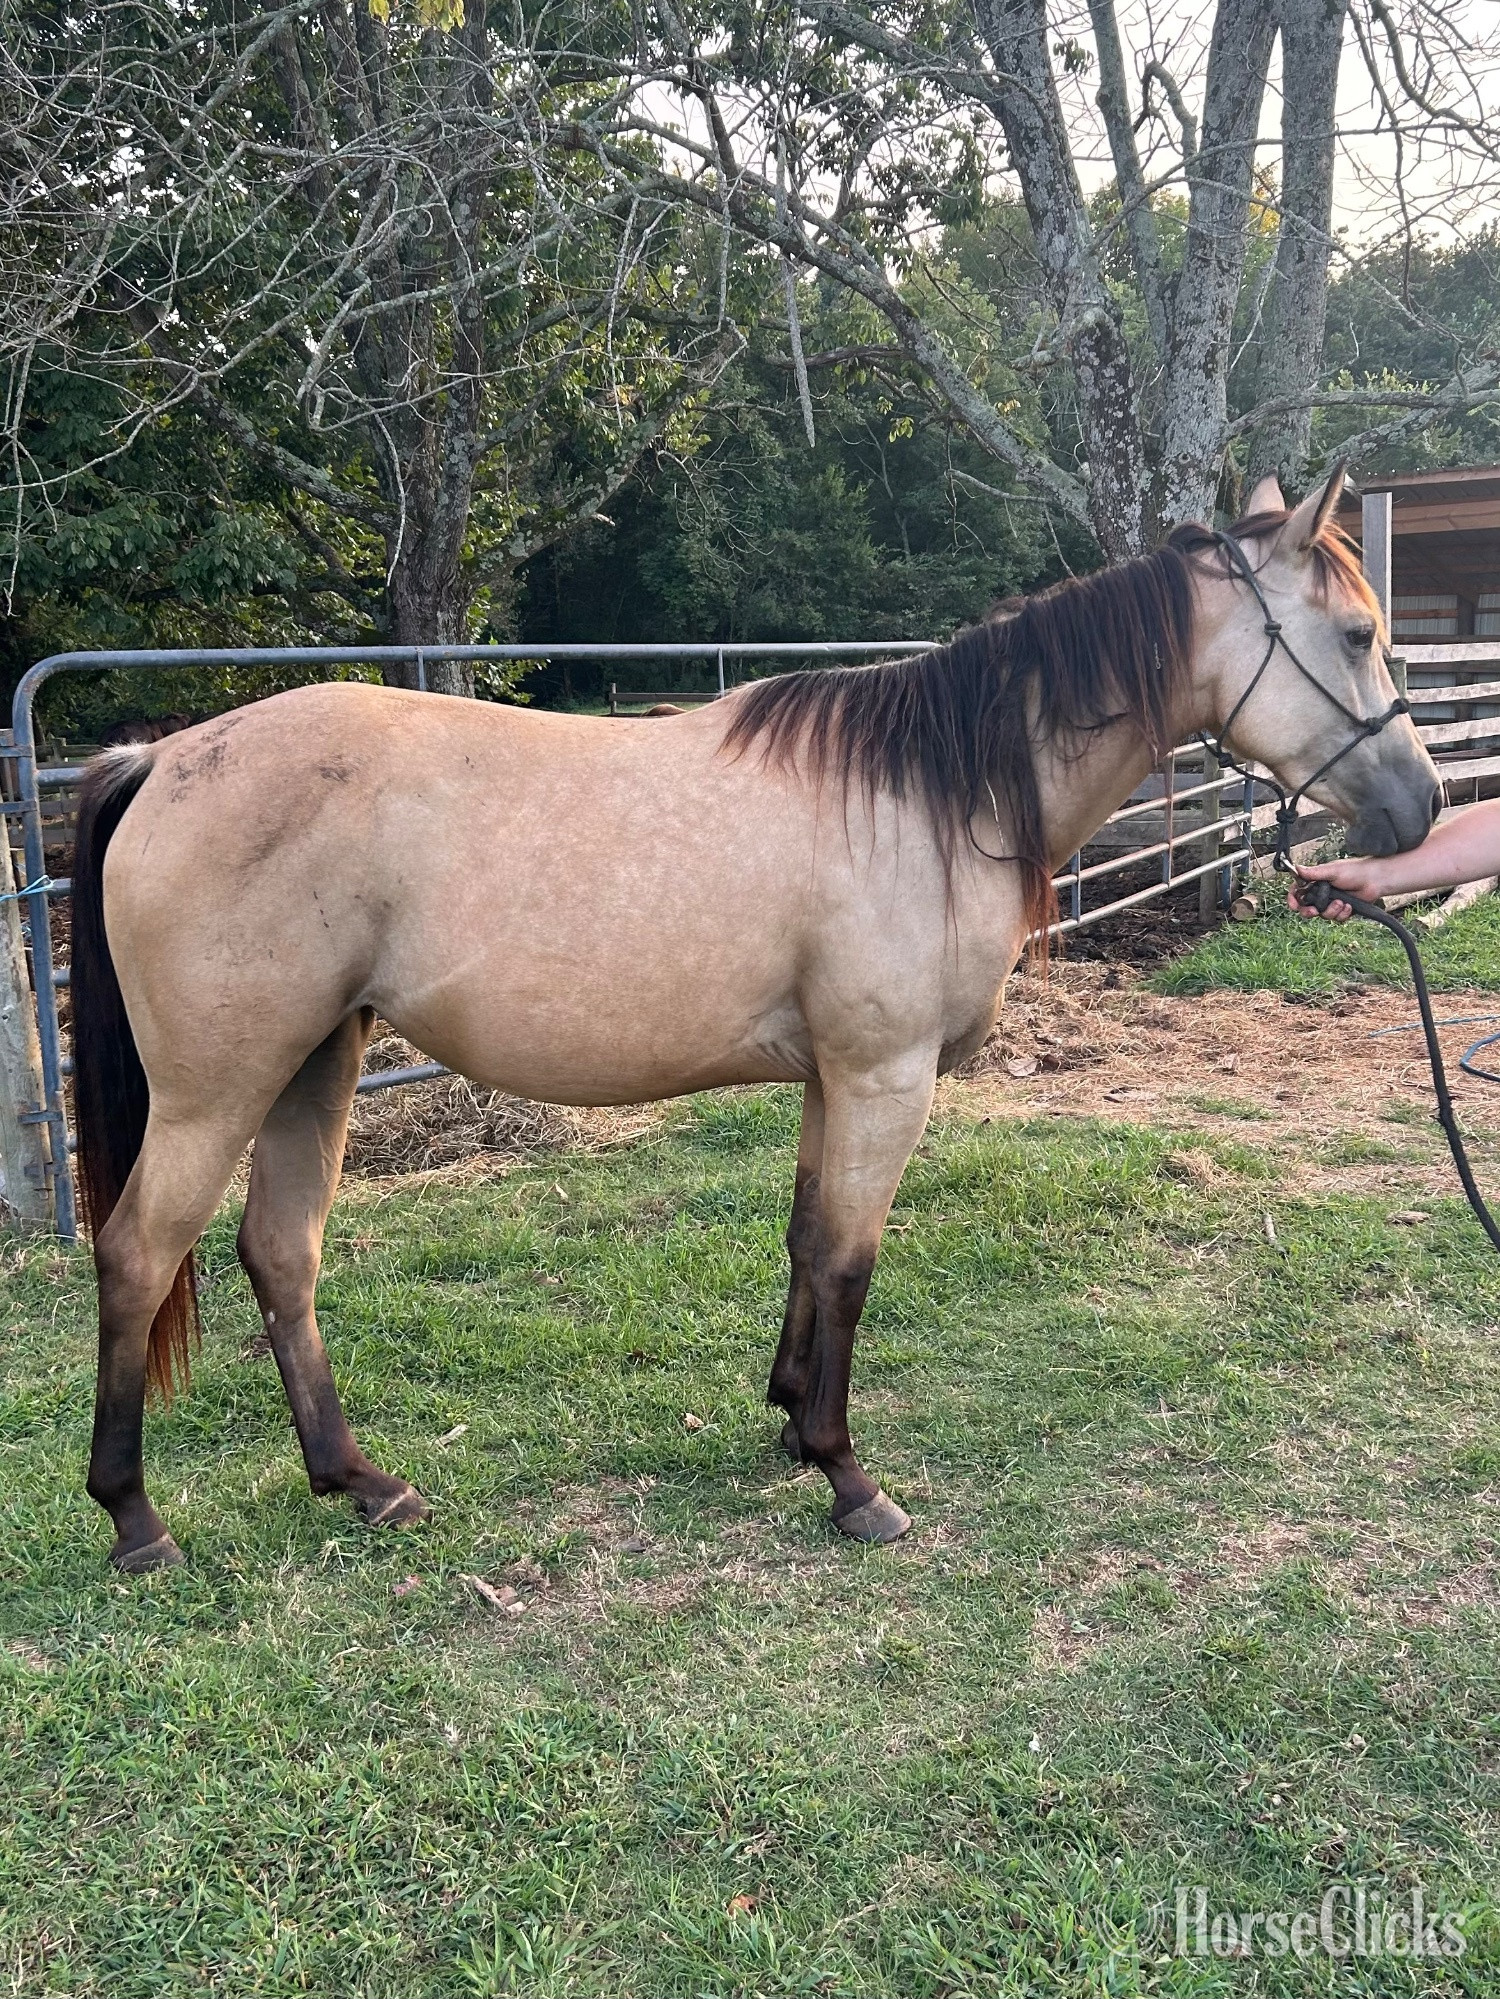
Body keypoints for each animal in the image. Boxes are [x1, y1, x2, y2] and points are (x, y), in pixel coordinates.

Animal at [68, 465, 1440, 1572]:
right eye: (1358, 632)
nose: (1421, 806)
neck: (930, 793)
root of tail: (161, 758)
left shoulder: (835, 1076)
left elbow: (802, 1238)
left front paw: (788, 1418)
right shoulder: (886, 1076)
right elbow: (850, 1259)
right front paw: (847, 1473)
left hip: (317, 1062)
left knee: (279, 1255)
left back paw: (361, 1482)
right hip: (219, 1088)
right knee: (138, 1253)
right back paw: (136, 1519)